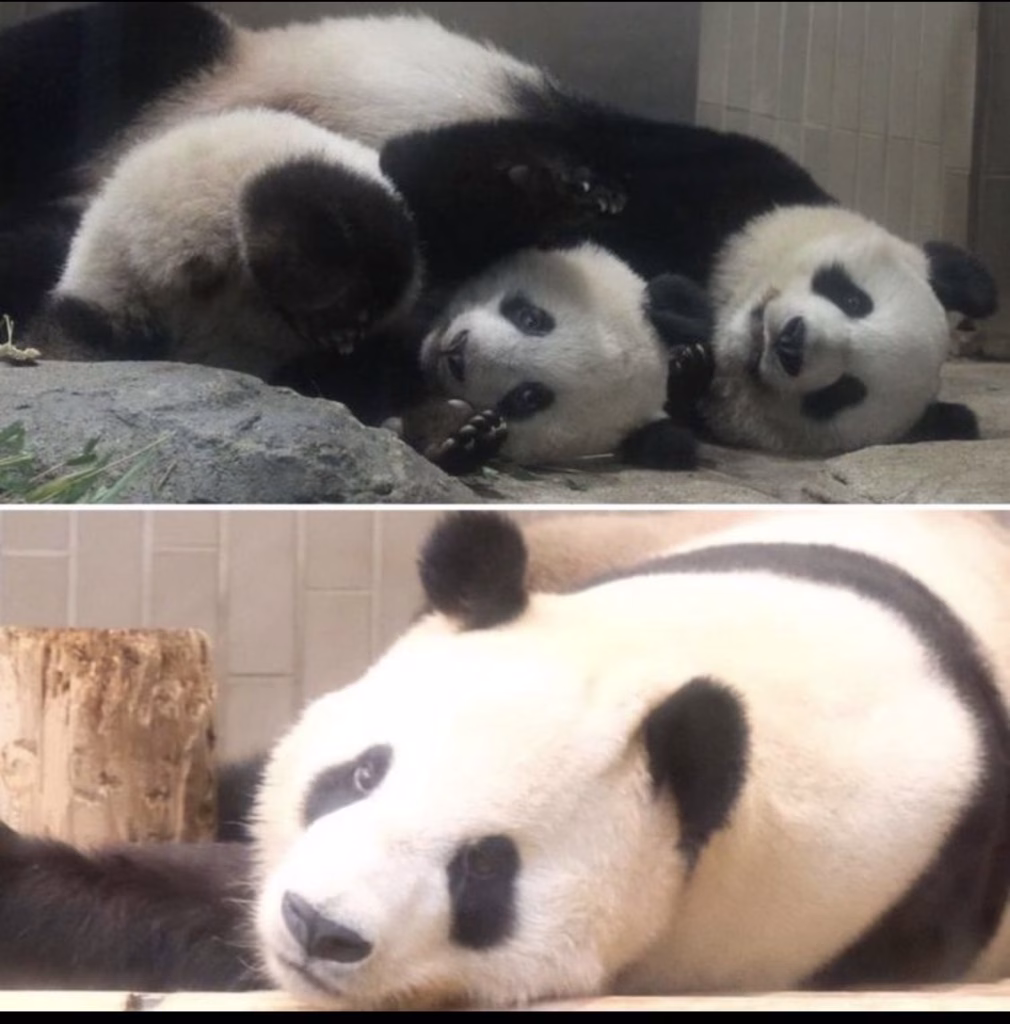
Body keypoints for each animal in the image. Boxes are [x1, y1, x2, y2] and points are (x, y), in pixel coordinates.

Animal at [0, 3, 997, 459]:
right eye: (847, 292)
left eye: (842, 394)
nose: (791, 343)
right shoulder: (710, 175)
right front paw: (549, 185)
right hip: (191, 68)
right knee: (100, 47)